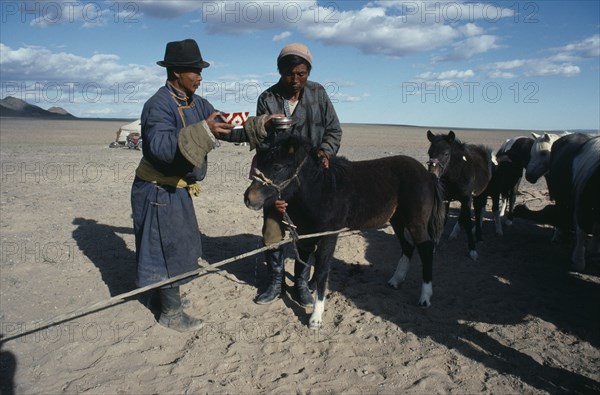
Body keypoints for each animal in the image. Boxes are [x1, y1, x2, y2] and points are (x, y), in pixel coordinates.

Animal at [244, 135, 446, 330]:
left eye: (277, 166)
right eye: (259, 165)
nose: (249, 199)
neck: (323, 188)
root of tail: (427, 175)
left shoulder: (329, 235)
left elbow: (322, 270)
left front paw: (316, 318)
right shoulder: (309, 233)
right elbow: (313, 264)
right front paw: (309, 290)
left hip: (416, 223)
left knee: (425, 250)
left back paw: (425, 297)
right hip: (397, 219)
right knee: (407, 247)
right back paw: (395, 281)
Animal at [426, 131, 492, 260]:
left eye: (446, 153)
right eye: (429, 152)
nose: (432, 174)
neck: (456, 174)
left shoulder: (467, 199)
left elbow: (468, 222)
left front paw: (472, 249)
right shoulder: (445, 199)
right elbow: (442, 219)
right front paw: (435, 244)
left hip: (480, 195)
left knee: (478, 212)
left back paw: (479, 237)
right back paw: (454, 233)